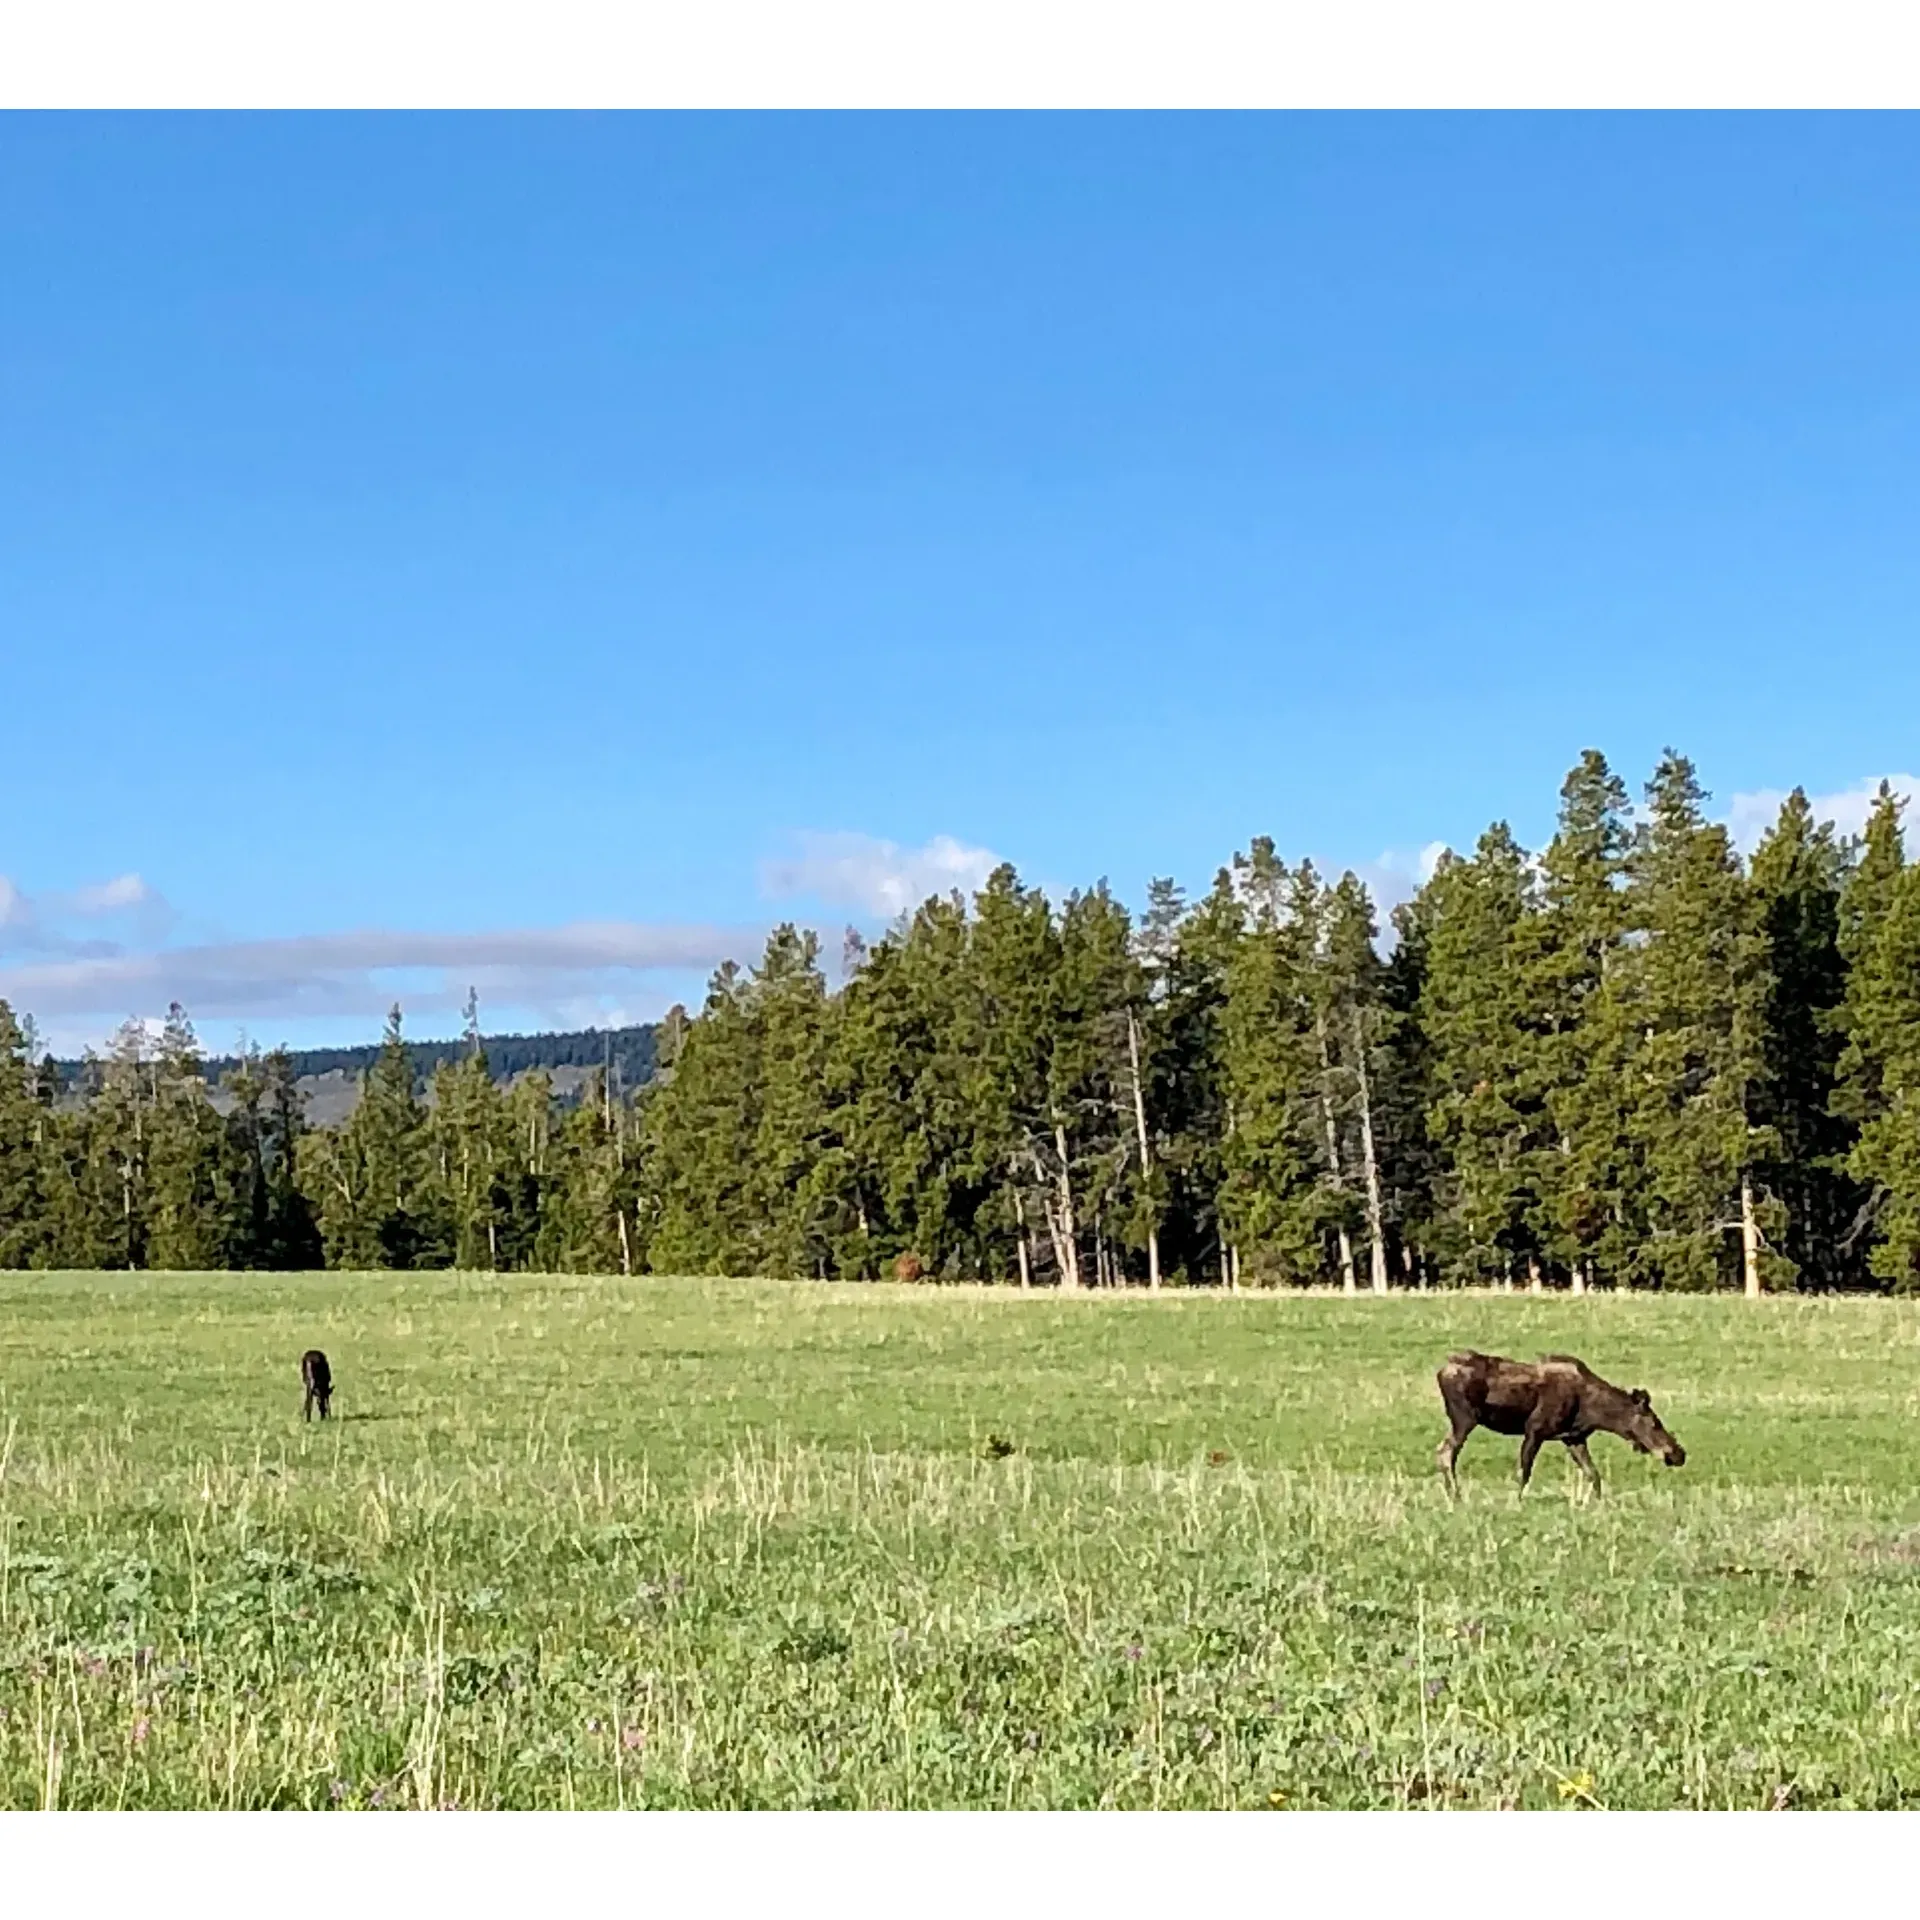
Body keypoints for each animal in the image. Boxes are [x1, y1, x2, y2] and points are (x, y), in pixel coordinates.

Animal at [1436, 1351, 1689, 1497]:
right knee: (1446, 1452)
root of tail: (1441, 1371)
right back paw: (1455, 1495)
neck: (1595, 1411)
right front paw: (1517, 1502)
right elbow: (1523, 1473)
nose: (1678, 1454)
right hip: (1465, 1418)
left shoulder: (1573, 1437)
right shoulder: (1535, 1430)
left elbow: (1593, 1475)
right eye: (1655, 1423)